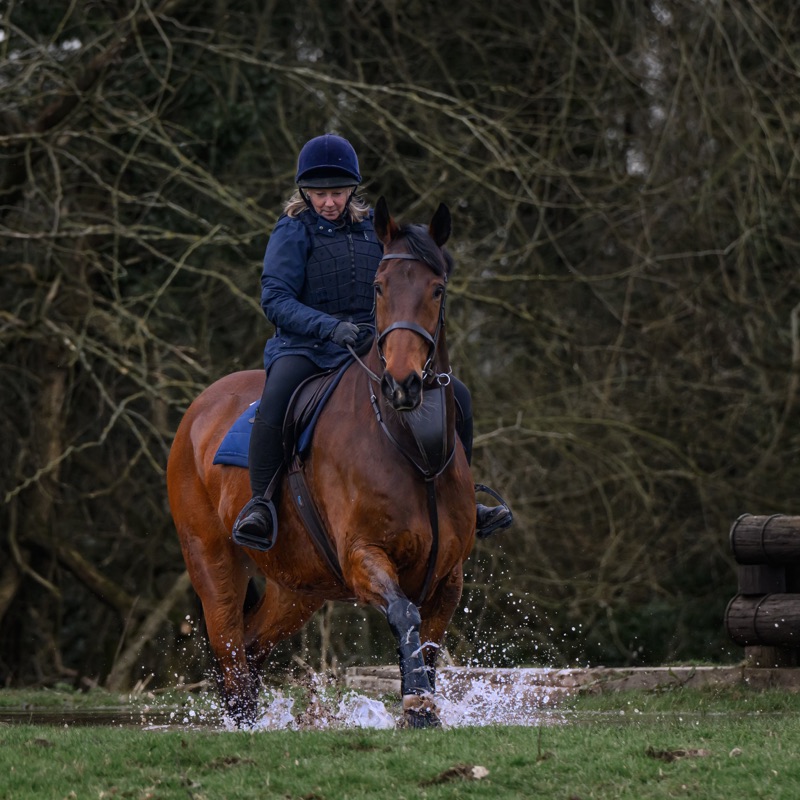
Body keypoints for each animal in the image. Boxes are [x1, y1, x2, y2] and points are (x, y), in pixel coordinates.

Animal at [166, 197, 476, 727]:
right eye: (379, 286)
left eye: (437, 289)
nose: (402, 384)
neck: (414, 448)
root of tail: (198, 411)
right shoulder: (362, 556)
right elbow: (405, 616)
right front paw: (416, 704)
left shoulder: (448, 576)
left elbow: (429, 642)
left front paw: (422, 708)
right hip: (211, 562)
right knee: (231, 653)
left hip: (297, 587)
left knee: (252, 647)